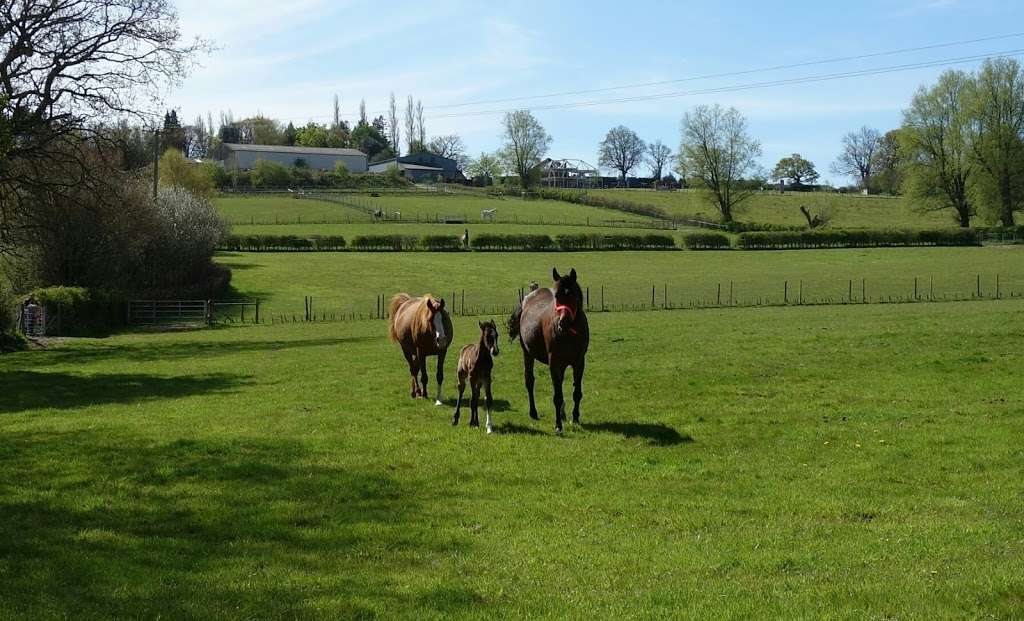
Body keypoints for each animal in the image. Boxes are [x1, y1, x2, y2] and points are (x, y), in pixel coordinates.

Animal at [507, 270, 589, 436]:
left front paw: (575, 418)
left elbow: (577, 392)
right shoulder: (555, 363)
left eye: (573, 295)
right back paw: (533, 412)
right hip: (527, 353)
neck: (569, 334)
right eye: (556, 296)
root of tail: (527, 298)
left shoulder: (579, 362)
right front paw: (558, 425)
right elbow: (557, 396)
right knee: (529, 381)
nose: (563, 323)